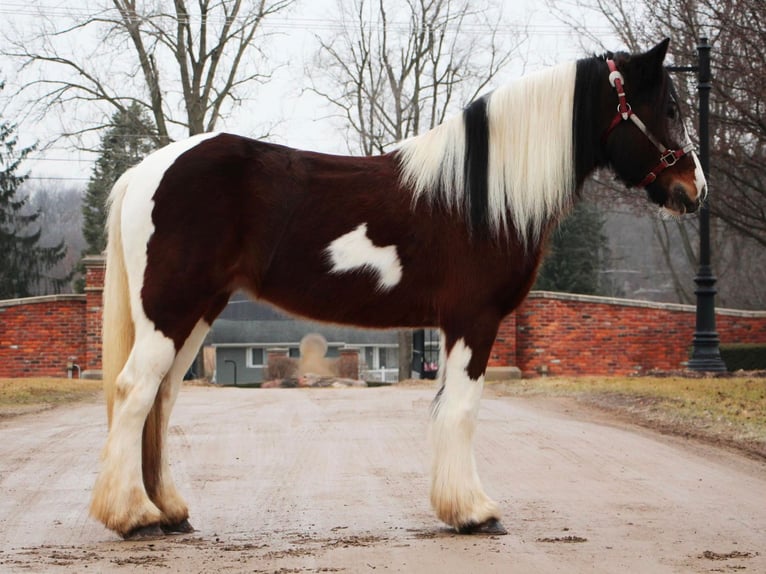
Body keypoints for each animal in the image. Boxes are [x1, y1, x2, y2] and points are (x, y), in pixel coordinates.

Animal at [90, 39, 708, 540]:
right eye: (670, 108)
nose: (694, 189)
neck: (481, 196)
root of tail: (149, 170)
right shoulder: (474, 319)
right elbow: (462, 410)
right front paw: (475, 513)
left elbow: (450, 408)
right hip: (170, 309)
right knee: (134, 393)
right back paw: (135, 518)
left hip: (195, 311)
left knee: (162, 399)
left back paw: (170, 511)